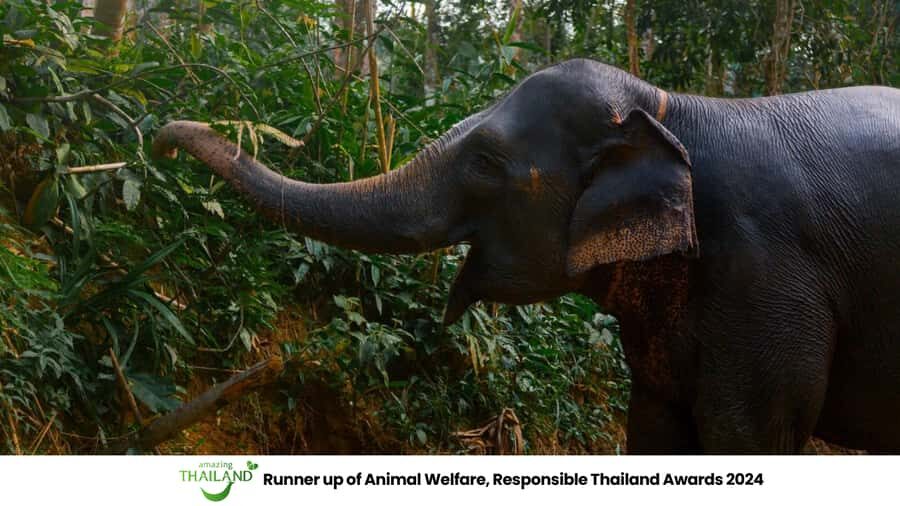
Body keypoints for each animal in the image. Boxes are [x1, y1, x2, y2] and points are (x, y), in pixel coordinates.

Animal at [153, 58, 900, 454]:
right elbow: (655, 428)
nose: (163, 133)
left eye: (485, 161)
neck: (678, 110)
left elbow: (745, 437)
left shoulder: (768, 277)